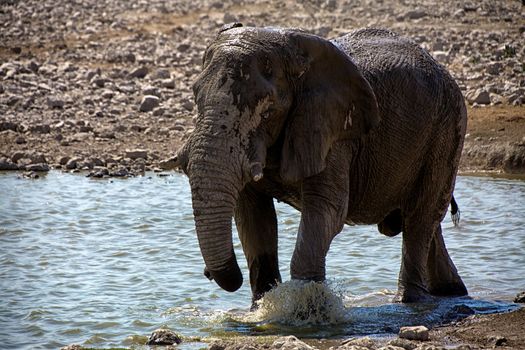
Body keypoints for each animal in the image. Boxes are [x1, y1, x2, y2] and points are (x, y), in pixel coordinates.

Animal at [175, 23, 466, 304]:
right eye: (196, 98)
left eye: (268, 112)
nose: (207, 273)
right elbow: (253, 218)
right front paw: (261, 309)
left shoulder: (333, 132)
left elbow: (327, 208)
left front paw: (305, 308)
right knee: (426, 224)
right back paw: (450, 292)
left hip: (447, 130)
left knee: (420, 218)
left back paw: (408, 301)